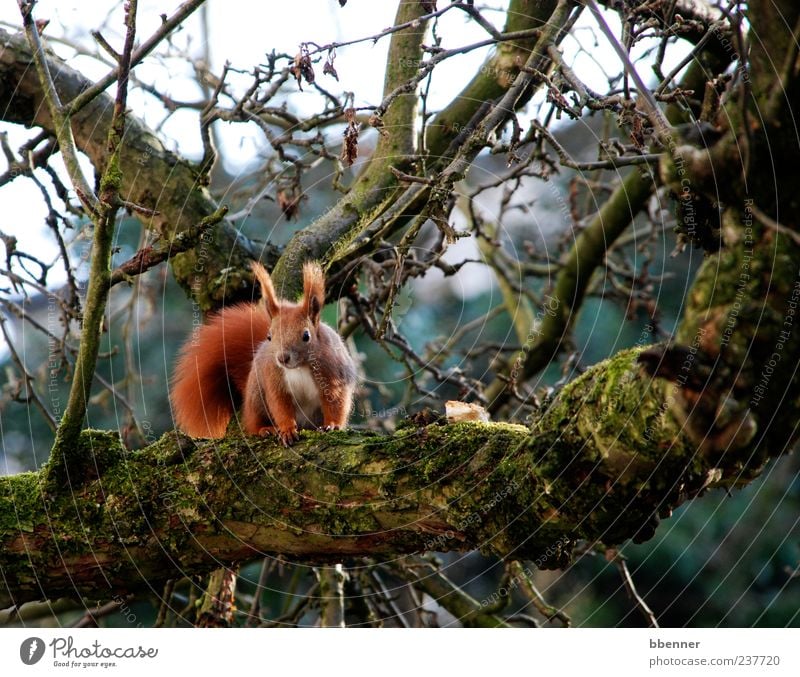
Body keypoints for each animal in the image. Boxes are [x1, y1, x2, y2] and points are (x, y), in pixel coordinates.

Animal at [171, 262, 356, 446]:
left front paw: (332, 425)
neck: (299, 367)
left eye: (306, 336)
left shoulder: (333, 374)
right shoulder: (273, 378)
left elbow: (335, 402)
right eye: (269, 336)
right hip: (256, 399)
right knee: (253, 423)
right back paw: (265, 429)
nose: (282, 358)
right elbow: (280, 405)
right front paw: (287, 430)